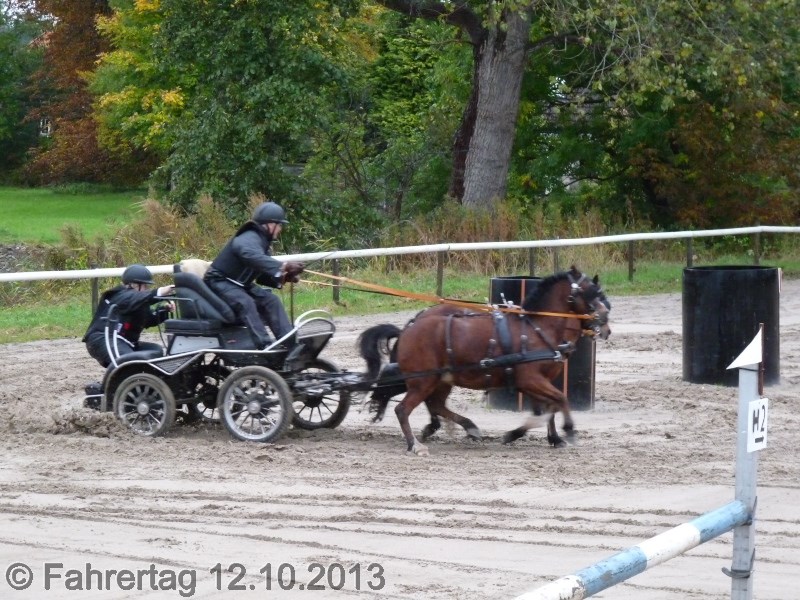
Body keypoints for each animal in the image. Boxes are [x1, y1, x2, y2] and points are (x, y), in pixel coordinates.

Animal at [358, 266, 611, 456]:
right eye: (590, 293)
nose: (605, 323)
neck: (538, 328)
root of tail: (407, 329)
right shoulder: (531, 379)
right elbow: (560, 400)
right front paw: (568, 430)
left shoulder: (537, 381)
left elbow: (549, 408)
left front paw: (551, 438)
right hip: (424, 381)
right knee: (403, 409)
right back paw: (414, 445)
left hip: (441, 379)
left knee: (436, 405)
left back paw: (466, 428)